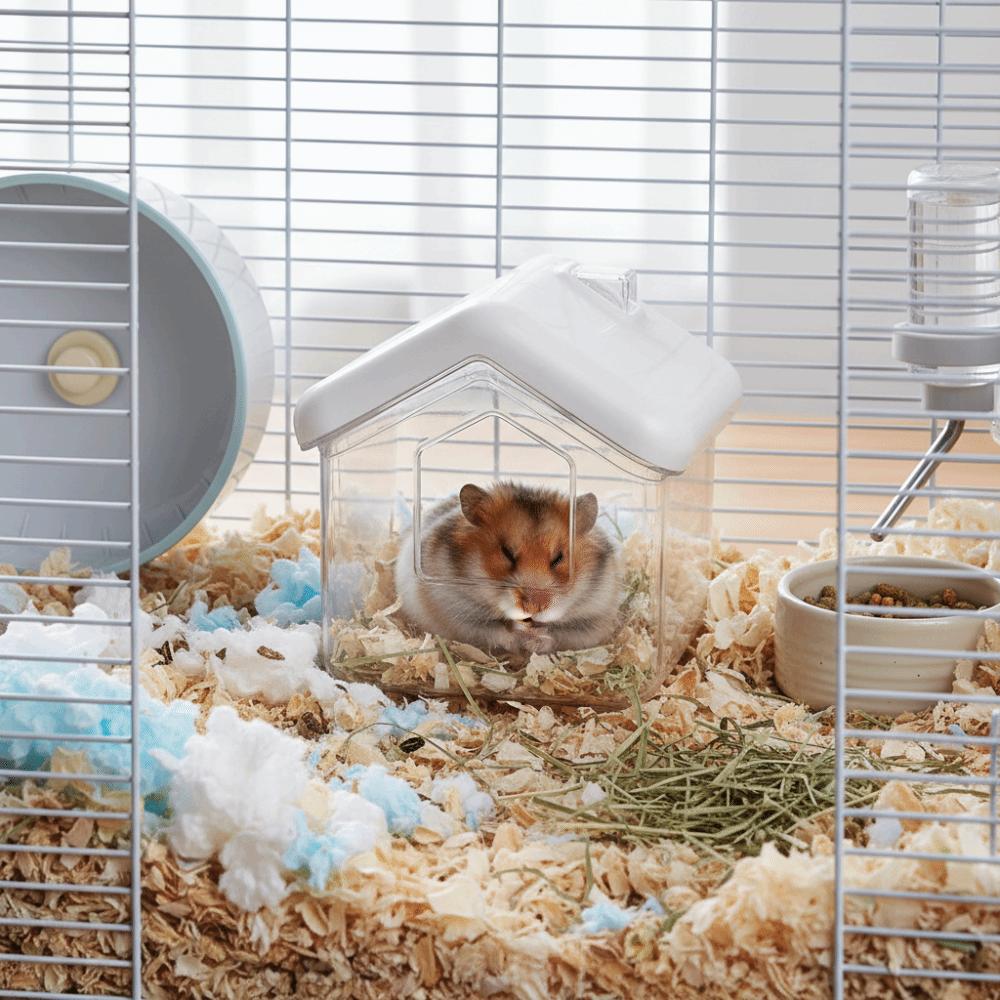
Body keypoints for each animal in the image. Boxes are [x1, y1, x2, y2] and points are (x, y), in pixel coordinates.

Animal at [394, 482, 622, 657]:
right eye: (507, 552)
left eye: (559, 558)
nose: (533, 608)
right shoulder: (454, 611)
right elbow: (494, 631)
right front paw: (519, 635)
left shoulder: (593, 619)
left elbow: (558, 635)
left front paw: (534, 641)